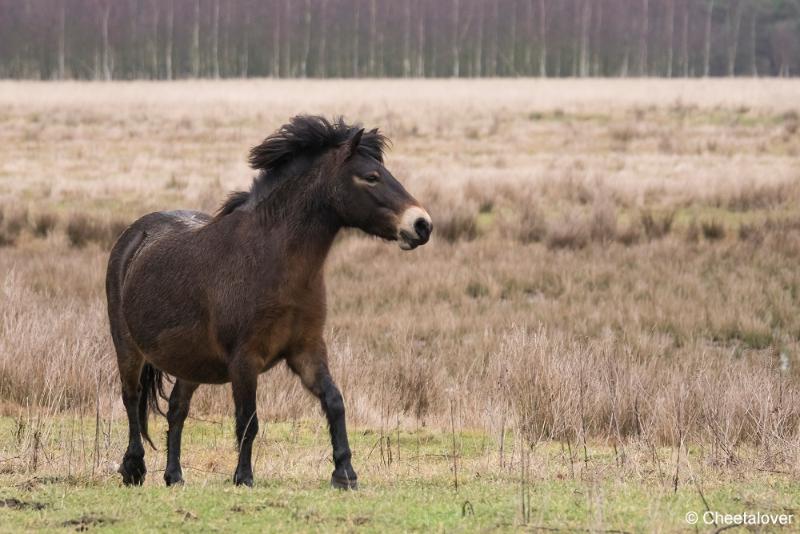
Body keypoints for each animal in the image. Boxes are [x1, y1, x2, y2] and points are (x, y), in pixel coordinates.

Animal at [108, 116, 432, 490]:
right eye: (371, 177)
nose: (421, 224)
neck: (271, 259)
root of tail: (134, 235)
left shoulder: (307, 350)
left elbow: (334, 402)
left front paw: (345, 473)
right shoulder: (244, 360)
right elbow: (248, 420)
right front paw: (243, 477)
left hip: (192, 362)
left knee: (177, 408)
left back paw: (174, 476)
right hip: (128, 348)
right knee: (131, 398)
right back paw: (134, 468)